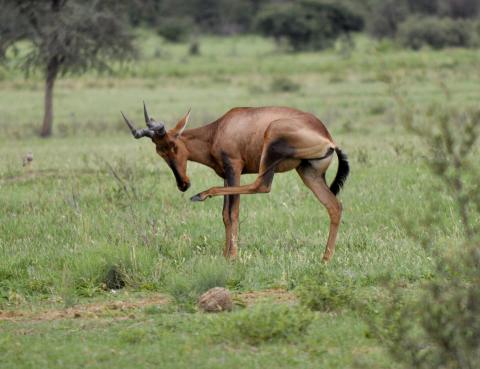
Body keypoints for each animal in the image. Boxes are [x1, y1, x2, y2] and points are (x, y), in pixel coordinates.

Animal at [122, 102, 348, 260]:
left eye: (173, 145)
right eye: (159, 152)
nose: (183, 184)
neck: (219, 129)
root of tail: (327, 137)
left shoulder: (234, 169)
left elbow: (233, 213)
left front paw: (232, 256)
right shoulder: (226, 176)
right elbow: (224, 215)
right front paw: (224, 254)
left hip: (272, 148)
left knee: (261, 185)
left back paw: (201, 195)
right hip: (308, 172)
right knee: (334, 206)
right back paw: (325, 259)